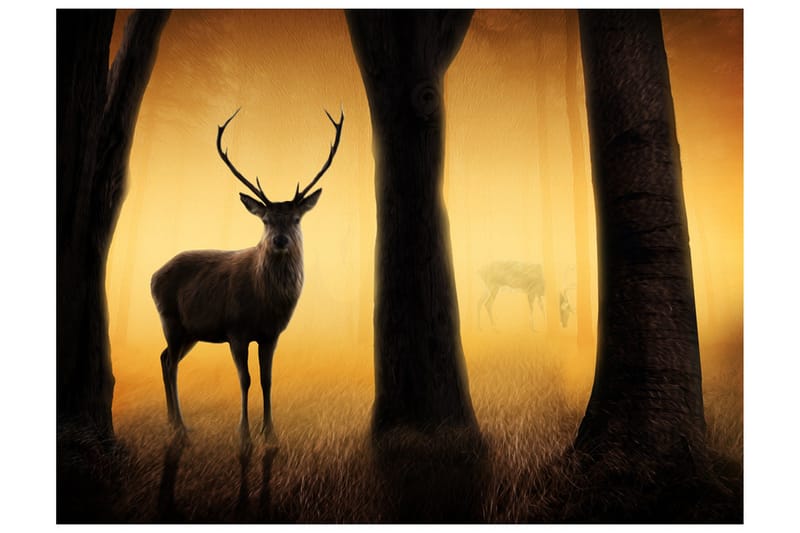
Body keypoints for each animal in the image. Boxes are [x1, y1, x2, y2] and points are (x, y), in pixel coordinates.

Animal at [151, 108, 343, 442]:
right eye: (265, 220)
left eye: (296, 218)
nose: (280, 240)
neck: (265, 304)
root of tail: (152, 276)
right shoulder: (235, 329)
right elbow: (245, 379)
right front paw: (244, 434)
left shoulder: (272, 334)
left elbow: (267, 380)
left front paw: (270, 433)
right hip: (170, 320)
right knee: (171, 364)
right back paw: (181, 427)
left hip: (191, 331)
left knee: (164, 359)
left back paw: (173, 422)